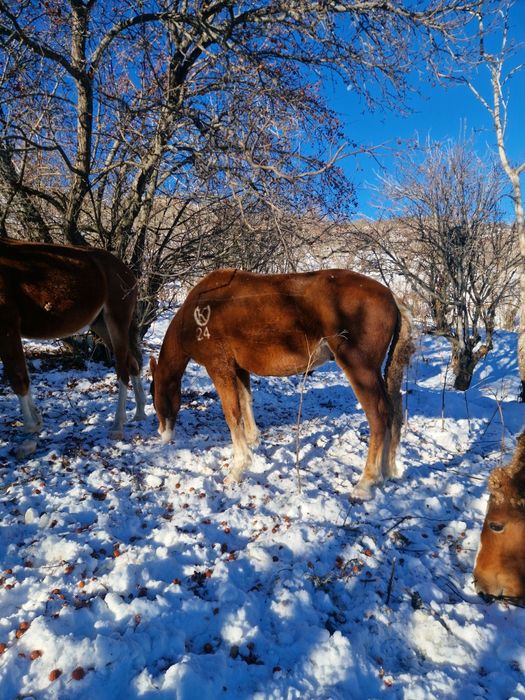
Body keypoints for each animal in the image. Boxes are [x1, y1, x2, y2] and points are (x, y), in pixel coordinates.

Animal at [0, 237, 146, 453]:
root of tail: (127, 272)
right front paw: (37, 424)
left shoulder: (7, 326)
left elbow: (18, 378)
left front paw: (29, 435)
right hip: (101, 325)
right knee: (132, 363)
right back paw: (140, 412)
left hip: (116, 322)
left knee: (123, 369)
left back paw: (117, 425)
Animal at [150, 268, 414, 500]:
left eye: (154, 397)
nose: (162, 433)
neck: (200, 311)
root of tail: (390, 296)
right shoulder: (239, 368)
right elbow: (245, 401)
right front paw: (254, 442)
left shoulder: (219, 367)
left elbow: (232, 414)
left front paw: (238, 468)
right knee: (391, 411)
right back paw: (386, 473)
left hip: (361, 370)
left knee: (378, 416)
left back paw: (366, 482)